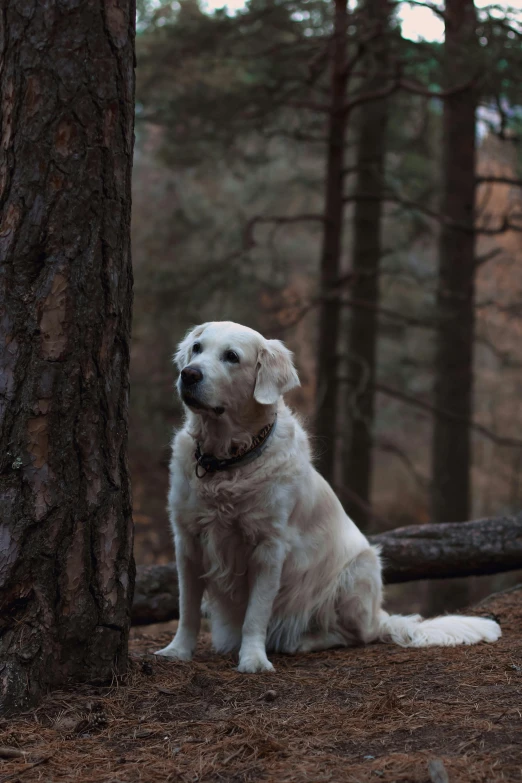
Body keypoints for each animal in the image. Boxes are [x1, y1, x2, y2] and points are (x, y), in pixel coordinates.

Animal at [155, 322, 500, 672]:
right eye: (197, 348)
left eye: (231, 357)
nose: (189, 374)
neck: (226, 462)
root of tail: (380, 615)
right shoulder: (188, 541)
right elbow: (187, 608)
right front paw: (177, 651)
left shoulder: (269, 547)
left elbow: (256, 614)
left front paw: (253, 659)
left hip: (358, 570)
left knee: (358, 634)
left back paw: (301, 641)